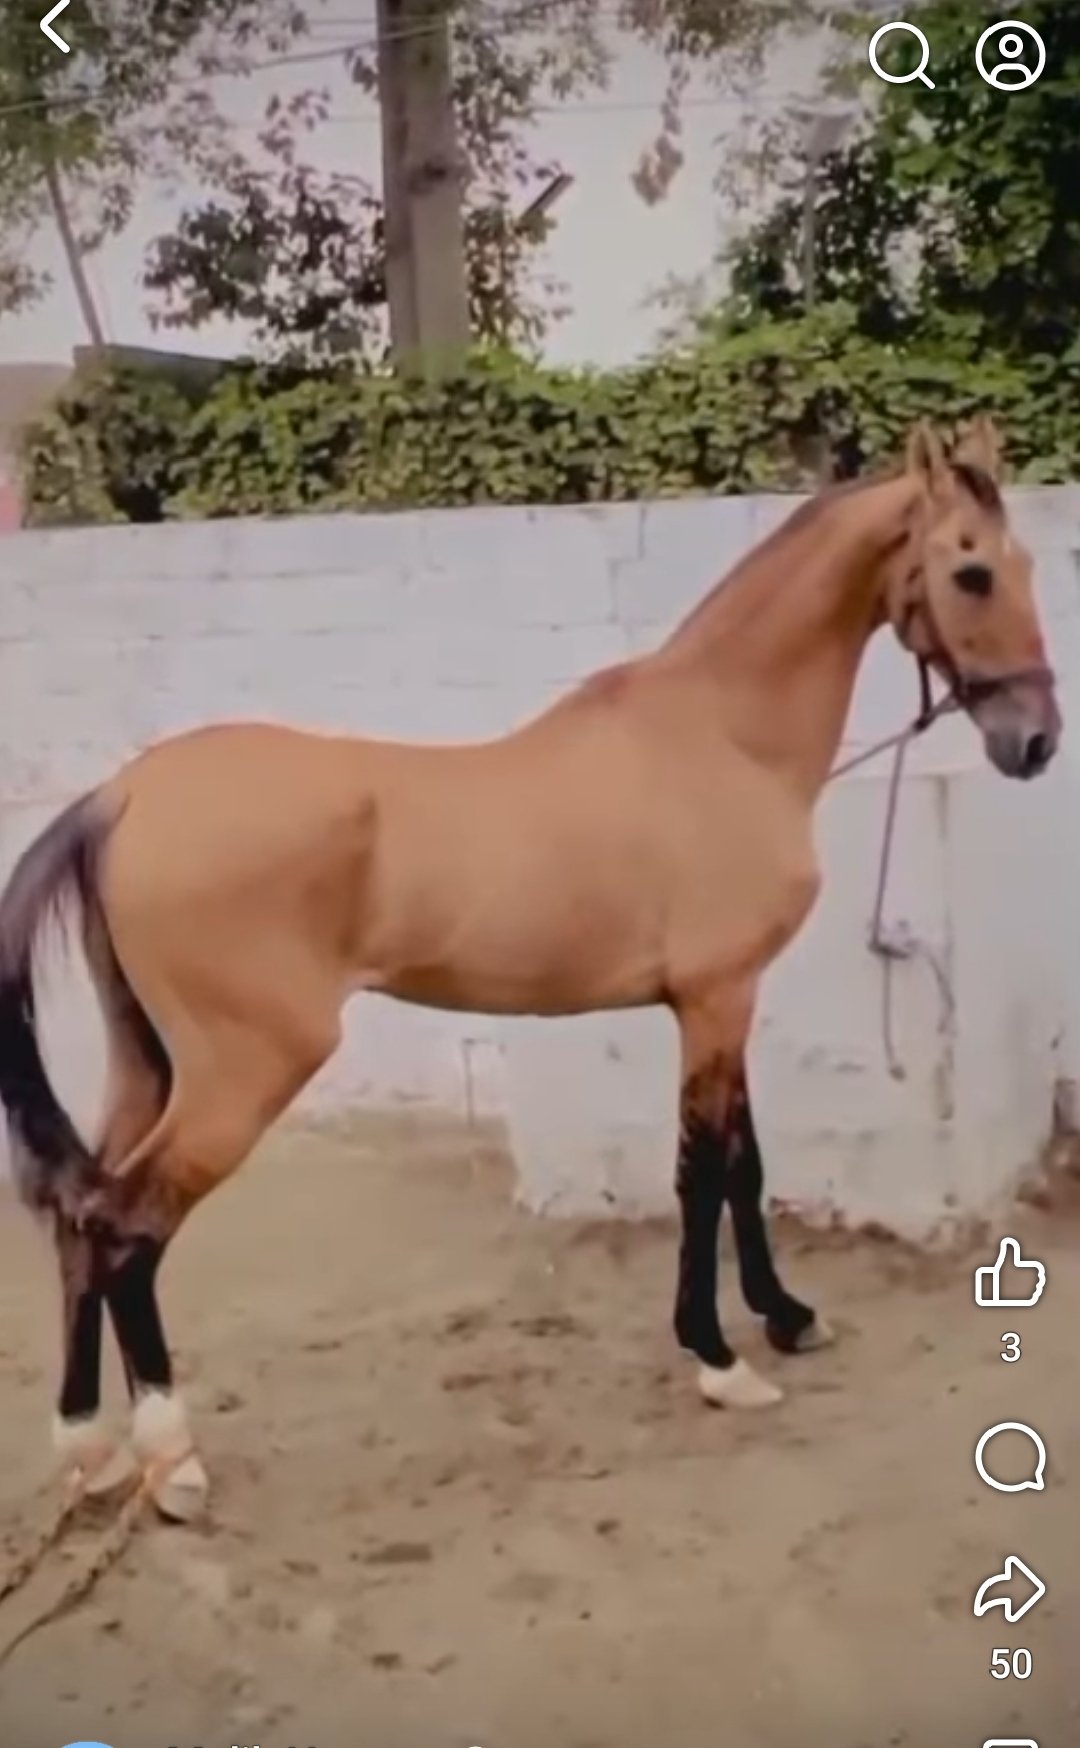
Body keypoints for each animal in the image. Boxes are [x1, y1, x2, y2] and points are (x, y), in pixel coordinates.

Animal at [0, 416, 1060, 1524]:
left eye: (1023, 562)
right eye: (972, 570)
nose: (1034, 740)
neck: (720, 735)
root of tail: (121, 796)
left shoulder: (724, 1003)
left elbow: (746, 1163)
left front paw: (787, 1315)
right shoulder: (715, 998)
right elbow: (704, 1169)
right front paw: (719, 1356)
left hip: (149, 1063)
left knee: (80, 1219)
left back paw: (91, 1450)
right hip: (242, 1074)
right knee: (130, 1226)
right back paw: (173, 1460)